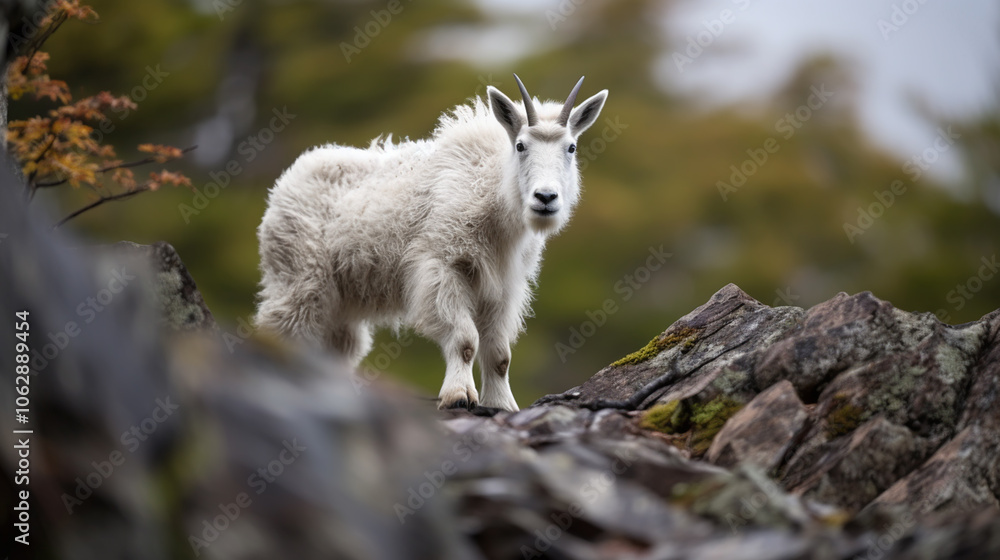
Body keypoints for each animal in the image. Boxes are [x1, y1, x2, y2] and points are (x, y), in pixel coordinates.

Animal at [256, 75, 608, 411]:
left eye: (571, 148)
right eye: (521, 145)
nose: (545, 198)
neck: (490, 192)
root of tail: (282, 184)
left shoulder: (502, 287)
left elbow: (500, 355)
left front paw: (502, 404)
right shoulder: (443, 266)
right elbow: (465, 341)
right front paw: (459, 396)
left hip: (342, 299)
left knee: (340, 346)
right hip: (300, 278)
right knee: (283, 328)